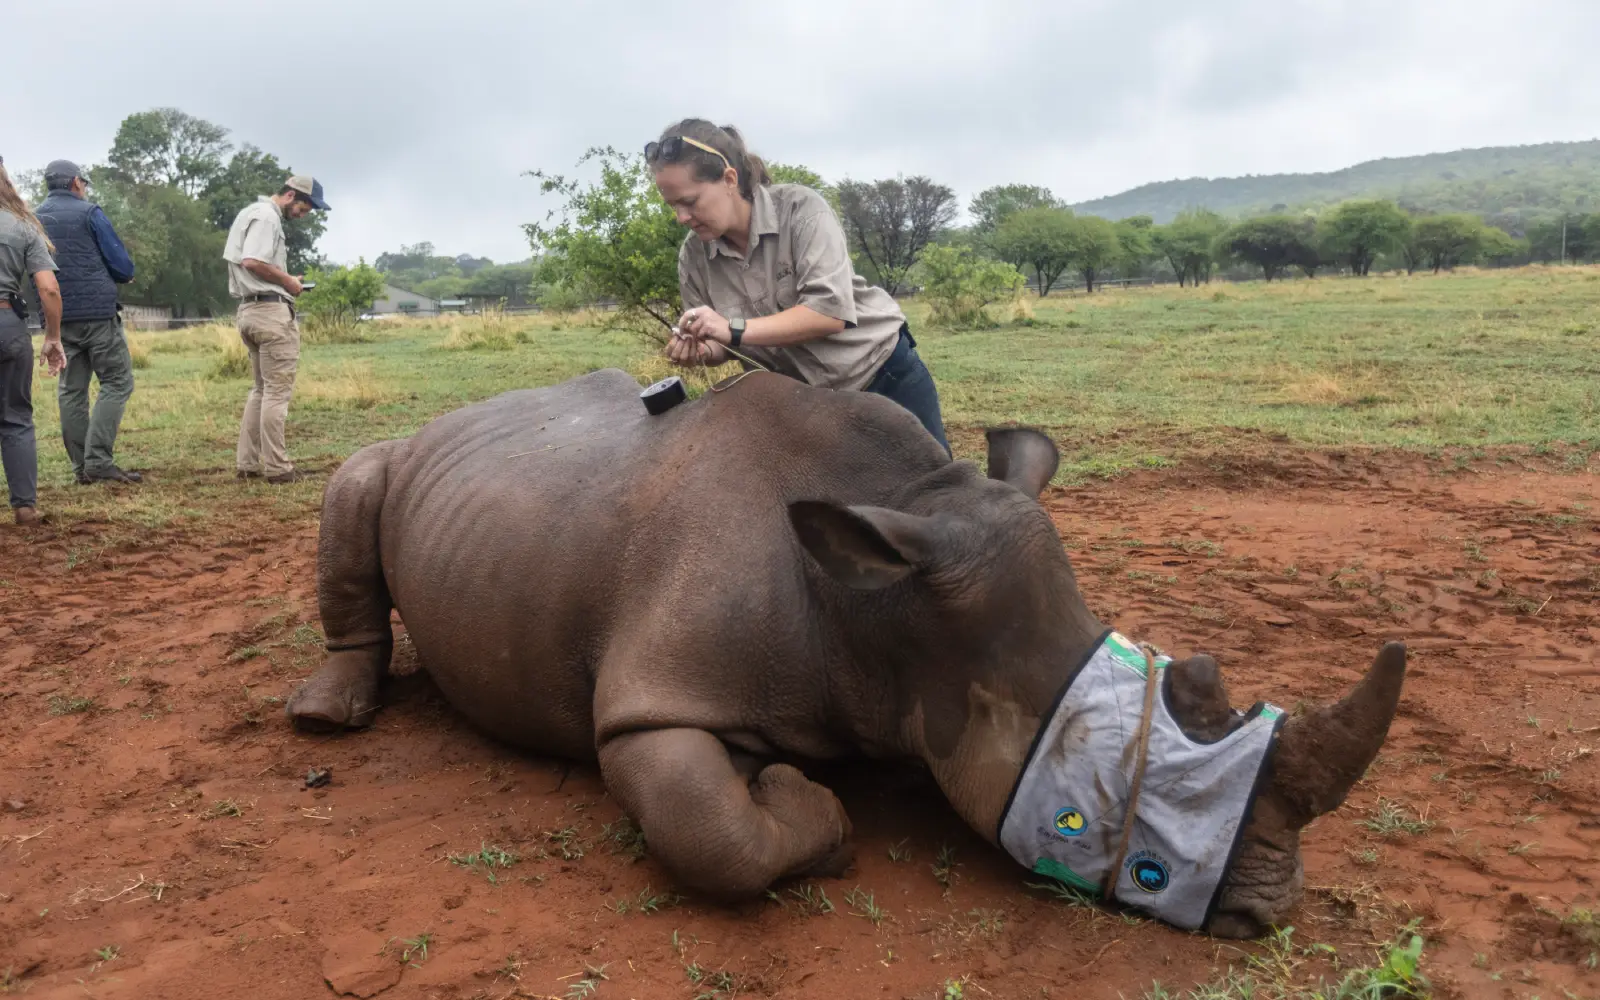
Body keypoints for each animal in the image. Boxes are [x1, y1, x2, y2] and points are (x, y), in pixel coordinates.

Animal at [288, 368, 1405, 938]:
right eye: (1104, 812)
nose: (1270, 915)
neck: (880, 611)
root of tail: (453, 417)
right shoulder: (650, 705)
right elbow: (715, 834)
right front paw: (813, 808)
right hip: (396, 458)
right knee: (354, 480)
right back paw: (322, 717)